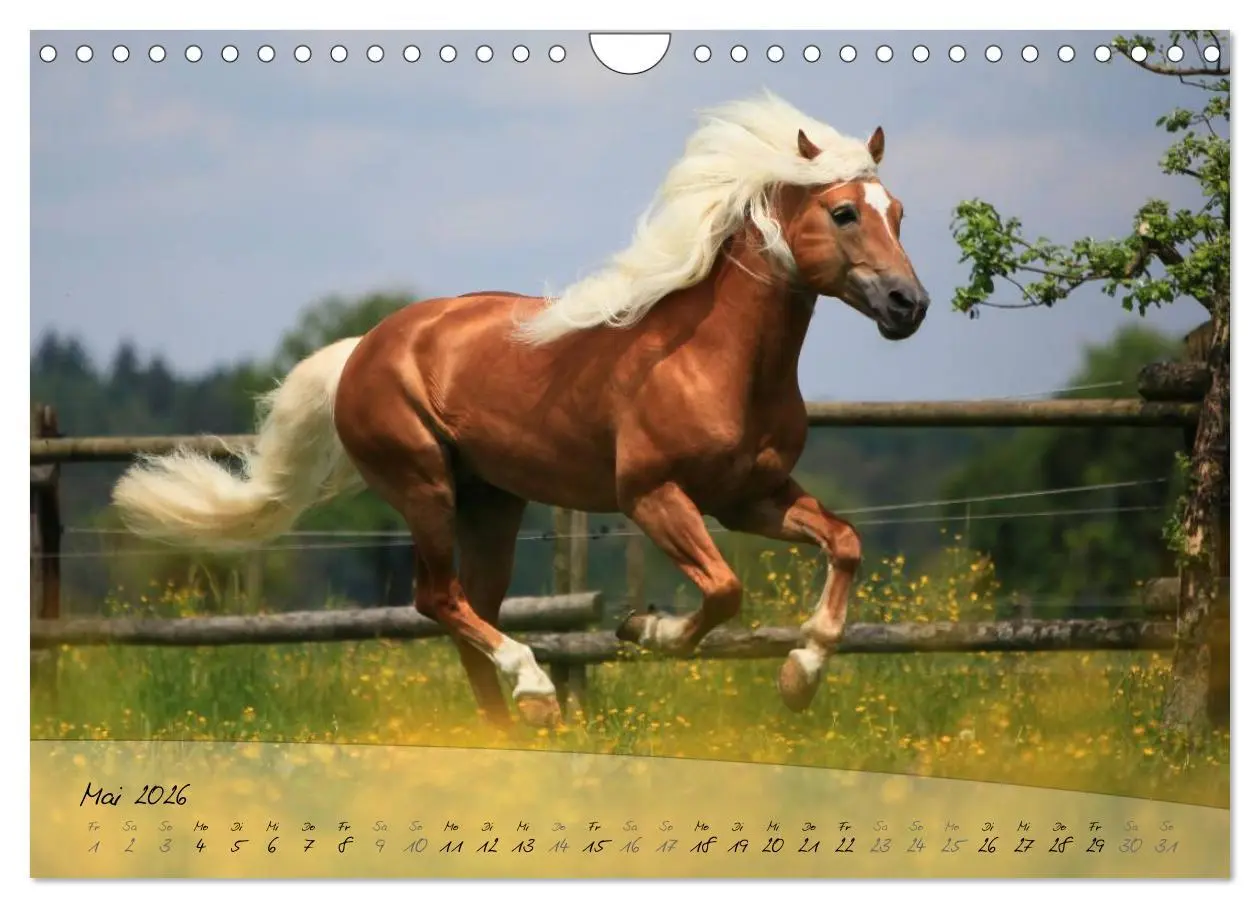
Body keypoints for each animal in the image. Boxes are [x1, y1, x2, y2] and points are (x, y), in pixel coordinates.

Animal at [112, 93, 930, 729]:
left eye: (899, 212)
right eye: (845, 212)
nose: (908, 305)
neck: (715, 360)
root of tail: (363, 348)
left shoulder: (749, 498)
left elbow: (845, 542)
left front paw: (799, 677)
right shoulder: (653, 495)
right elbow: (724, 590)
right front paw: (646, 629)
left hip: (492, 504)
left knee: (468, 610)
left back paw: (506, 735)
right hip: (423, 485)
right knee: (439, 599)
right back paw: (534, 692)